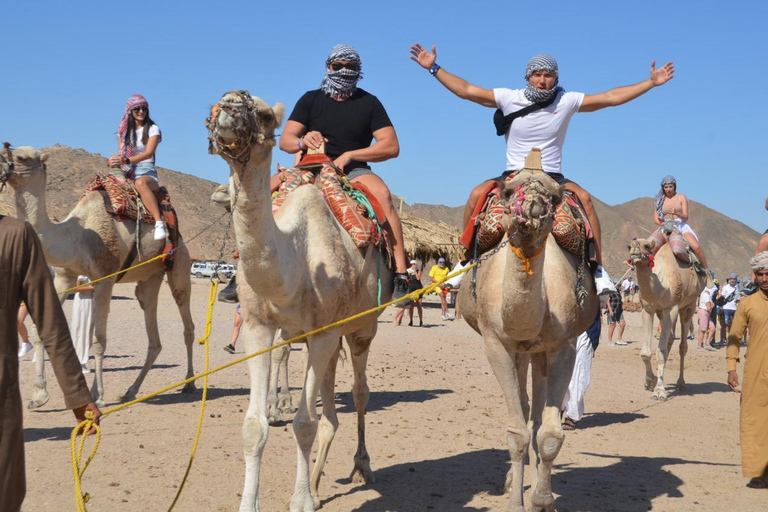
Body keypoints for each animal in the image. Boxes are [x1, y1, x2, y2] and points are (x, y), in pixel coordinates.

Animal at [3, 146, 195, 406]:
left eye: (22, 157)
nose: (2, 167)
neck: (76, 237)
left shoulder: (105, 278)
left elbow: (99, 339)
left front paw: (99, 396)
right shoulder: (63, 278)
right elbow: (41, 330)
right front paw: (39, 395)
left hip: (180, 265)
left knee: (187, 322)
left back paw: (190, 383)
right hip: (150, 278)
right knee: (153, 335)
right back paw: (130, 391)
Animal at [207, 90, 392, 510]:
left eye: (262, 114)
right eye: (215, 105)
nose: (228, 106)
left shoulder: (323, 333)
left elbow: (305, 423)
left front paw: (302, 500)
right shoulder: (259, 327)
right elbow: (253, 427)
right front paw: (254, 502)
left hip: (362, 327)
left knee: (359, 394)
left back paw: (361, 466)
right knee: (331, 411)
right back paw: (320, 480)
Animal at [456, 150, 600, 512]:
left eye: (555, 196)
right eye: (508, 192)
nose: (532, 204)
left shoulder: (563, 345)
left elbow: (547, 434)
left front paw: (543, 499)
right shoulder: (497, 343)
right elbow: (517, 432)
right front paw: (516, 502)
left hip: (539, 352)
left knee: (534, 414)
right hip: (521, 351)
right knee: (522, 409)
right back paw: (512, 480)